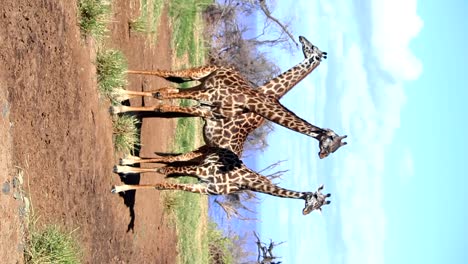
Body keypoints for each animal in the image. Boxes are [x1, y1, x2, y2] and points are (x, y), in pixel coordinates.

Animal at [111, 146, 330, 214]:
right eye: (313, 199)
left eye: (319, 207)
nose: (305, 212)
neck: (244, 181)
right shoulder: (200, 171)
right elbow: (162, 172)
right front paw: (120, 187)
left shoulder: (202, 188)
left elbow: (164, 183)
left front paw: (123, 182)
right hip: (197, 160)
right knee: (168, 161)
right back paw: (124, 164)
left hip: (196, 158)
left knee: (169, 161)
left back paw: (127, 162)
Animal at [112, 35, 348, 158]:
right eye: (312, 47)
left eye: (331, 147)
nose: (322, 155)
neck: (254, 99)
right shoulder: (205, 97)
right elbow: (162, 97)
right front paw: (119, 101)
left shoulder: (204, 106)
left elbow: (163, 103)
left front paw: (120, 105)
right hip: (200, 78)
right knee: (165, 77)